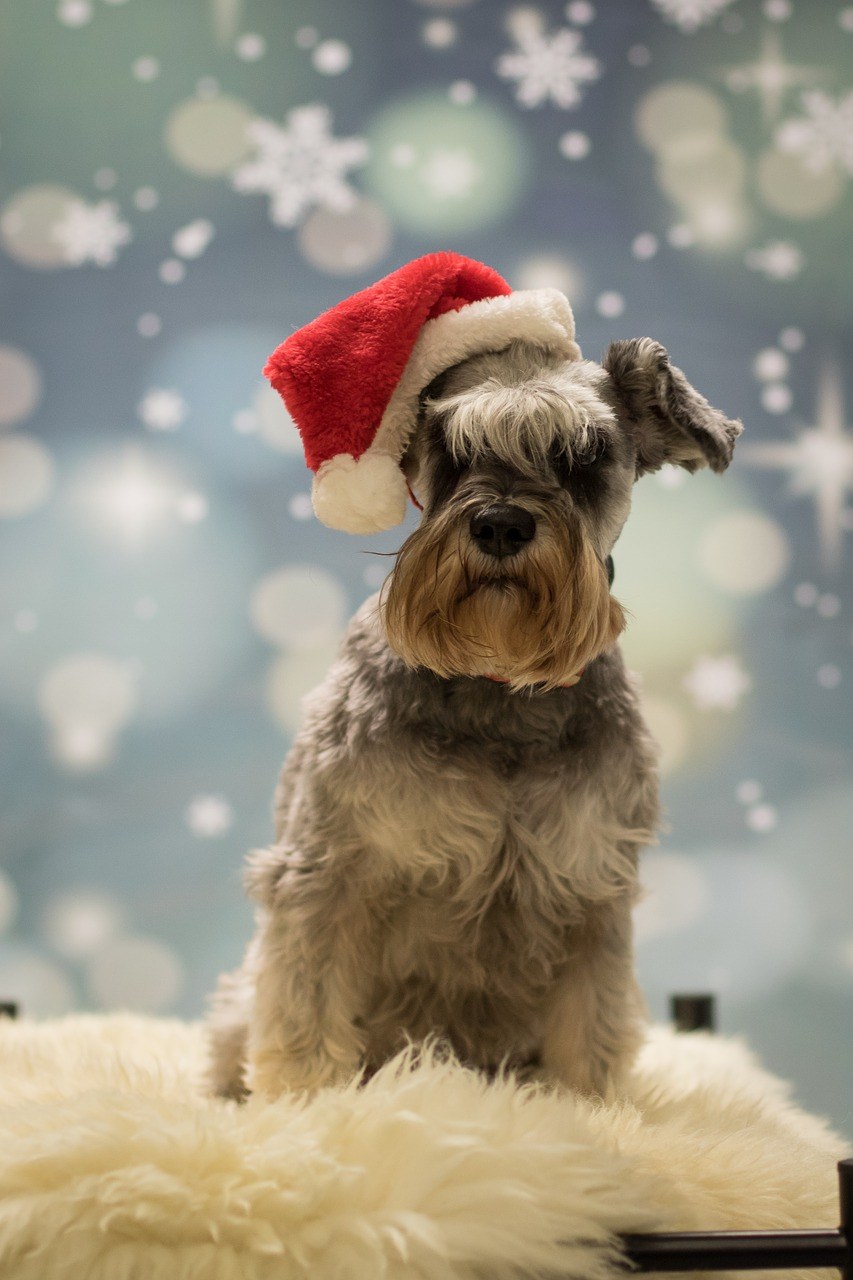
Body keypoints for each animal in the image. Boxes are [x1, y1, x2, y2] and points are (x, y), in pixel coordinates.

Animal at [206, 330, 737, 1100]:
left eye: (582, 455)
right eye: (448, 447)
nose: (502, 525)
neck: (499, 679)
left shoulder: (590, 884)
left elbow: (590, 1027)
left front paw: (588, 1105)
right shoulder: (329, 871)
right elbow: (307, 1009)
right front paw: (306, 1104)